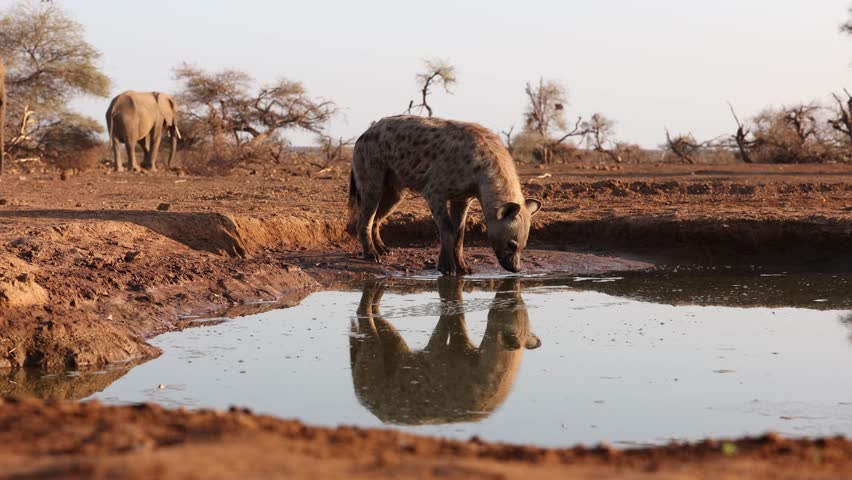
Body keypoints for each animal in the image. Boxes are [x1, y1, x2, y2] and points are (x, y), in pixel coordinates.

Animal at [349, 277, 541, 425]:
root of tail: (359, 394)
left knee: (385, 334)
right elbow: (448, 329)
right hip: (373, 370)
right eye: (514, 303)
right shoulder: (443, 358)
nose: (512, 293)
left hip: (394, 350)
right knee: (369, 337)